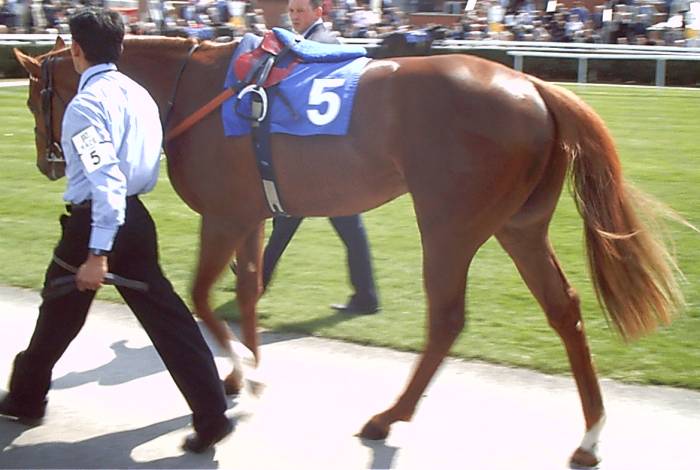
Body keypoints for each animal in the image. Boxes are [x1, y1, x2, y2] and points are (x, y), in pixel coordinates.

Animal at [14, 35, 686, 468]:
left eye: (31, 99)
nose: (49, 164)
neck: (197, 87)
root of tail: (536, 86)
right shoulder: (252, 216)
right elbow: (247, 290)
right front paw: (240, 370)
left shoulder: (225, 216)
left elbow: (204, 295)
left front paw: (245, 377)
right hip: (519, 226)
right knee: (564, 308)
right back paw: (590, 437)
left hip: (449, 224)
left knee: (447, 318)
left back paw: (388, 416)